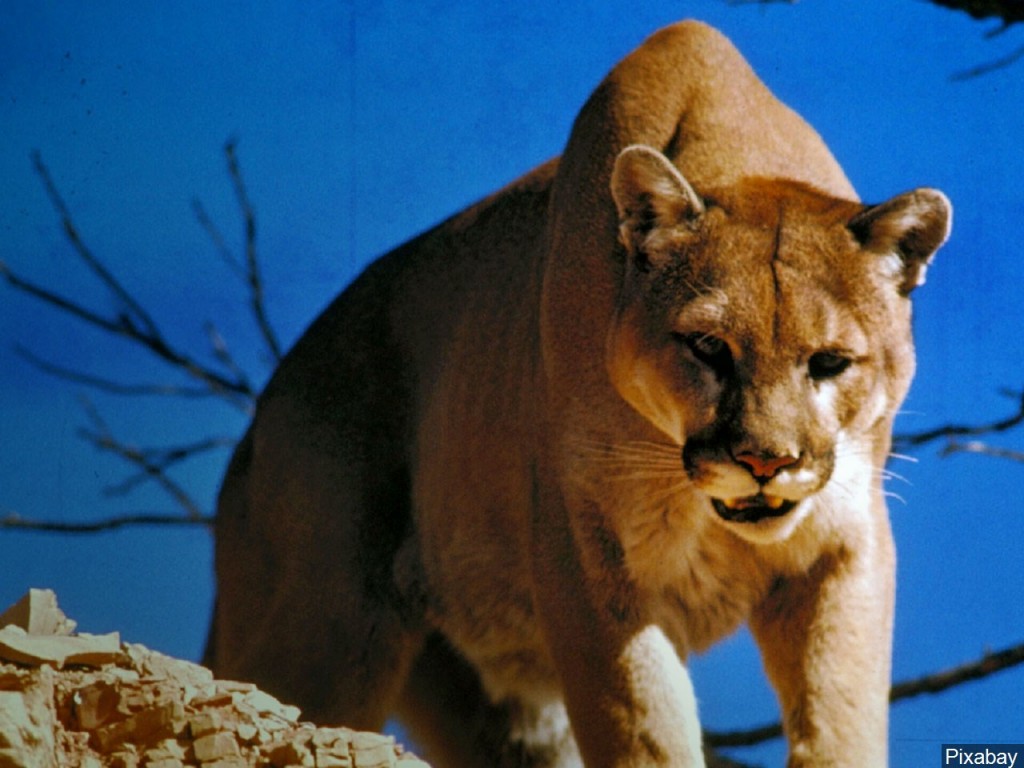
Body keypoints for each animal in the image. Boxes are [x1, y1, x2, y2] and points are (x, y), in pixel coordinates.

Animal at [209, 20, 951, 768]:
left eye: (830, 362)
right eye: (709, 347)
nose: (766, 461)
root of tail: (262, 415)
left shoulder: (845, 545)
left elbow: (841, 714)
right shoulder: (589, 555)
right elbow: (644, 727)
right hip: (324, 626)